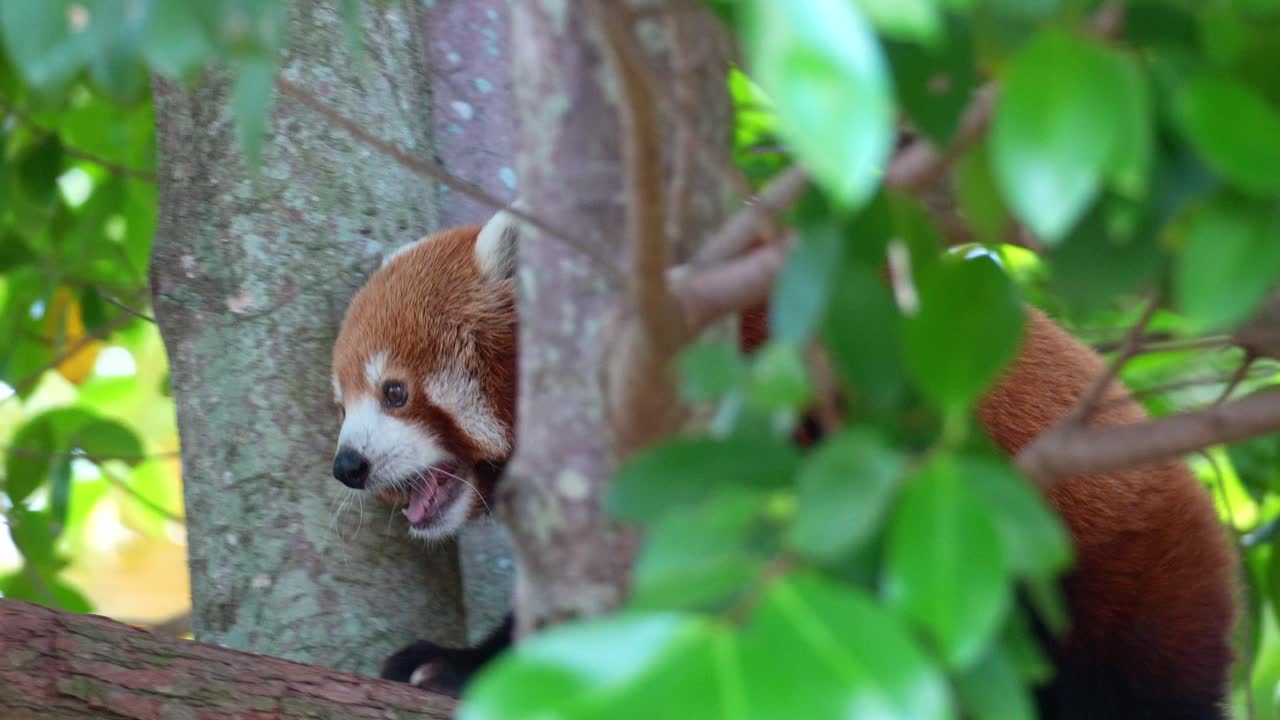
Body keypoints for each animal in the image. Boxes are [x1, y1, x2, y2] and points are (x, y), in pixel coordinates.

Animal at [329, 206, 1237, 718]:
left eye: (396, 392)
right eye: (342, 400)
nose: (347, 465)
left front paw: (480, 672)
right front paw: (451, 659)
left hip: (1126, 585)